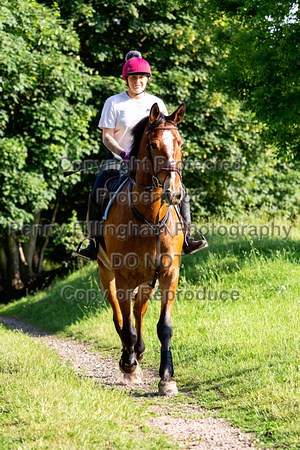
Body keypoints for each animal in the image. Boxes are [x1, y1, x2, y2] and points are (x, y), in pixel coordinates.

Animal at [96, 103, 185, 396]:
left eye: (180, 143)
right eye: (154, 144)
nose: (173, 192)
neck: (148, 217)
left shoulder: (169, 274)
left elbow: (164, 326)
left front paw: (167, 378)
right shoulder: (122, 276)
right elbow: (125, 324)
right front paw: (128, 364)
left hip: (148, 280)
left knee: (138, 311)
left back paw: (139, 351)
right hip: (107, 273)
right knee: (119, 315)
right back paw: (130, 359)